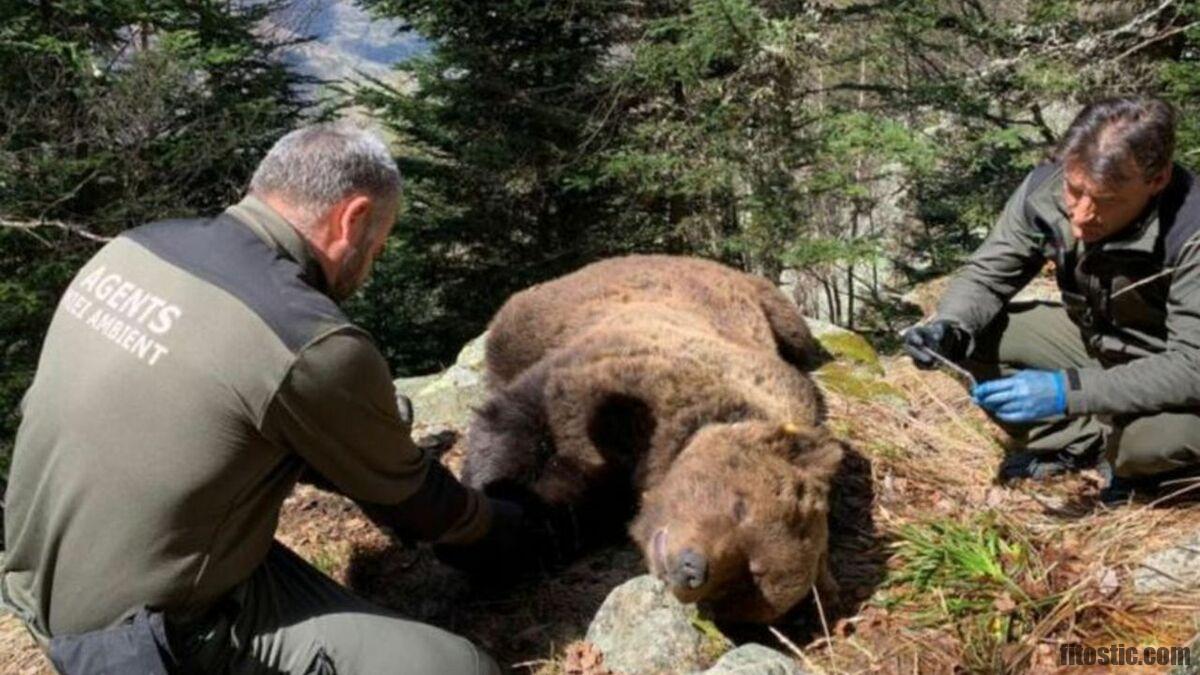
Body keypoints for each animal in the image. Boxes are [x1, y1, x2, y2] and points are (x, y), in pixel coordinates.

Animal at [458, 254, 844, 624]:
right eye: (741, 507)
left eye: (751, 576)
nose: (692, 569)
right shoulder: (620, 376)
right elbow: (519, 427)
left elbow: (568, 512)